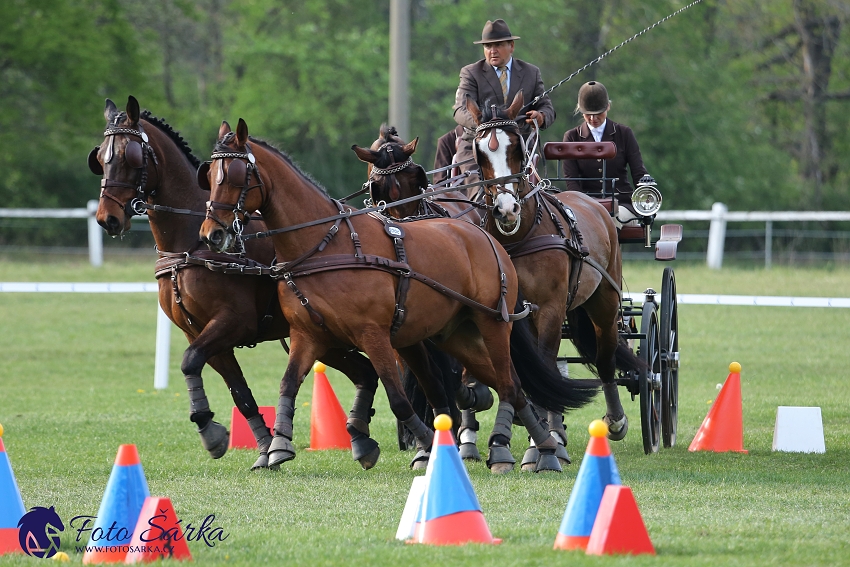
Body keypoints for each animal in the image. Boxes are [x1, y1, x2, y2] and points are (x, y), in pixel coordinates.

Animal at [89, 97, 380, 470]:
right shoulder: (200, 332)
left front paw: (210, 431)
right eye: (100, 158)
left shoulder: (232, 323)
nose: (107, 218)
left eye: (131, 156)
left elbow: (189, 361)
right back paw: (363, 439)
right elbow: (238, 392)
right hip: (325, 336)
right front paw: (264, 447)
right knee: (366, 372)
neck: (190, 243)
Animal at [199, 118, 596, 474]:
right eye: (210, 175)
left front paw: (424, 443)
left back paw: (533, 451)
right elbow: (288, 385)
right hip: (455, 334)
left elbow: (397, 397)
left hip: (493, 324)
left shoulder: (372, 334)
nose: (212, 234)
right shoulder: (307, 334)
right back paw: (537, 446)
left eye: (236, 176)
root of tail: (487, 236)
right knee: (508, 384)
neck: (324, 245)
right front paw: (278, 446)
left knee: (510, 383)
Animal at [464, 93, 644, 458]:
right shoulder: (501, 311)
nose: (506, 210)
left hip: (604, 303)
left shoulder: (549, 308)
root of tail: (593, 202)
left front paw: (543, 444)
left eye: (517, 147)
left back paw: (614, 422)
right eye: (480, 151)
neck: (517, 238)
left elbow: (545, 361)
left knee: (605, 359)